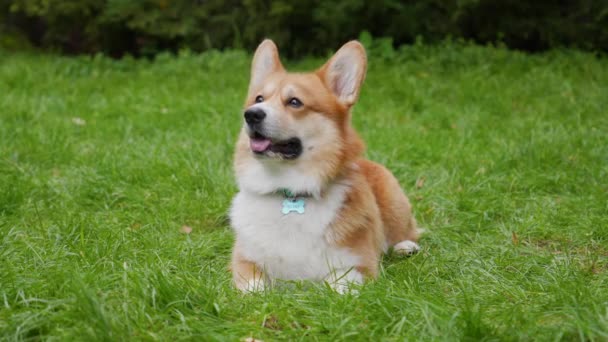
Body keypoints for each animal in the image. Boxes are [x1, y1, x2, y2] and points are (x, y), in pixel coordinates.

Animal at [230, 39, 420, 292]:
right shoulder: (244, 260)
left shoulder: (360, 265)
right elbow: (254, 287)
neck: (288, 191)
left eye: (295, 102)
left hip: (394, 203)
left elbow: (338, 286)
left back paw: (405, 246)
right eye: (259, 99)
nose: (250, 115)